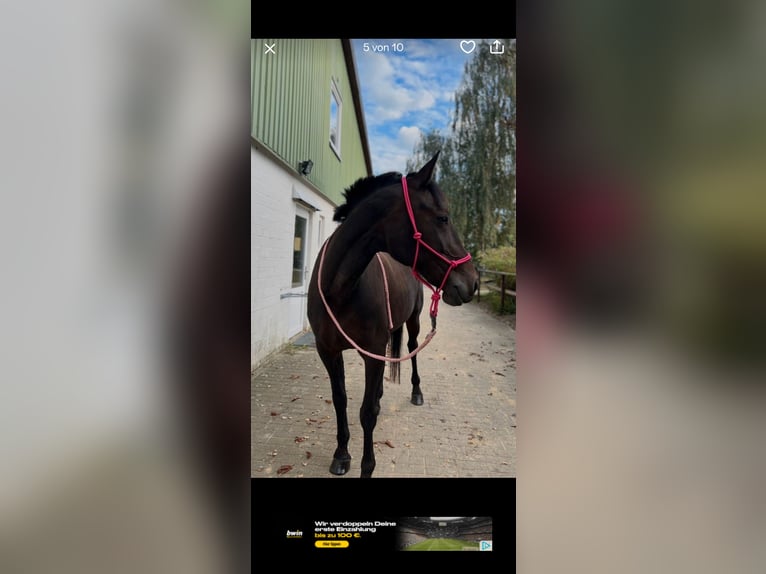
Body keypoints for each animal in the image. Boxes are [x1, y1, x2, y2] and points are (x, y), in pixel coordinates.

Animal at [307, 152, 479, 478]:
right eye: (443, 217)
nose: (473, 282)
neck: (340, 289)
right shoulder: (328, 351)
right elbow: (340, 400)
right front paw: (341, 454)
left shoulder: (371, 353)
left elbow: (367, 414)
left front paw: (367, 467)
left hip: (412, 323)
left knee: (412, 349)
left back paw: (416, 392)